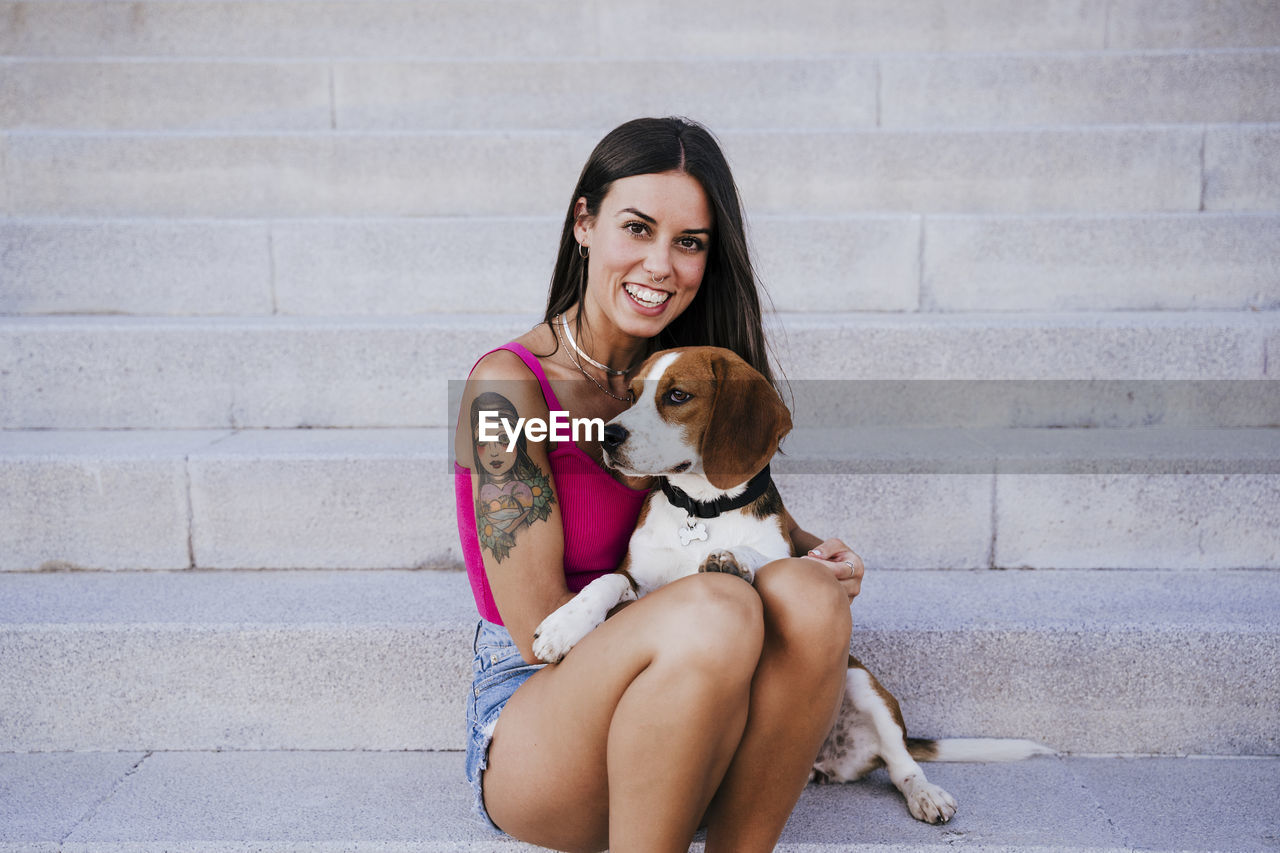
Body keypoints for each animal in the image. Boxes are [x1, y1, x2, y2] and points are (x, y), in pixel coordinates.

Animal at [529, 343, 1049, 819]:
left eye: (677, 395)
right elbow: (603, 583)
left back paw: (926, 793)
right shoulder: (634, 579)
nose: (608, 435)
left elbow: (766, 555)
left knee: (903, 764)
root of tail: (831, 759)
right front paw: (563, 626)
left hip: (865, 684)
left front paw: (732, 558)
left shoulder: (786, 555)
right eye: (632, 394)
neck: (704, 508)